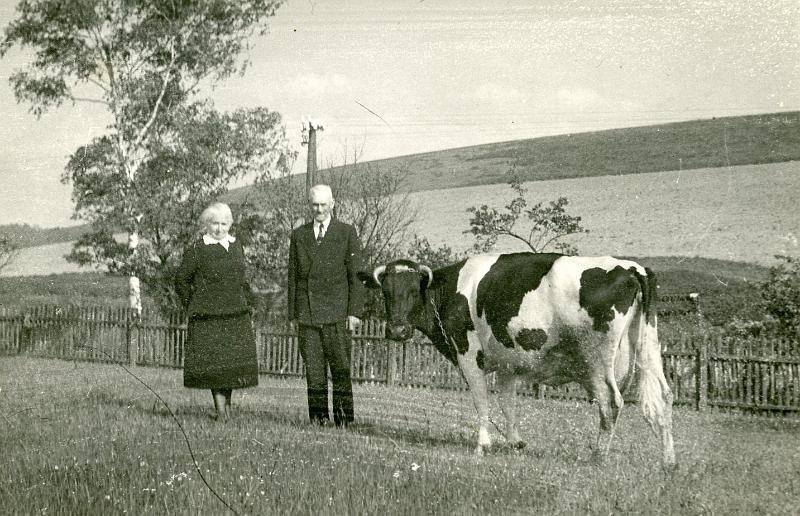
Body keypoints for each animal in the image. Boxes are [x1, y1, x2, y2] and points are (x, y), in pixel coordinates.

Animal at [360, 252, 680, 470]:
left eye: (414, 290)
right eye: (386, 292)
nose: (397, 330)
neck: (450, 290)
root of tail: (632, 267)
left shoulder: (468, 353)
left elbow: (482, 401)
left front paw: (483, 445)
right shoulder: (508, 363)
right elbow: (507, 402)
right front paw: (515, 443)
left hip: (597, 360)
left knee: (610, 402)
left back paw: (598, 457)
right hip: (649, 345)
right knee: (664, 396)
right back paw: (669, 461)